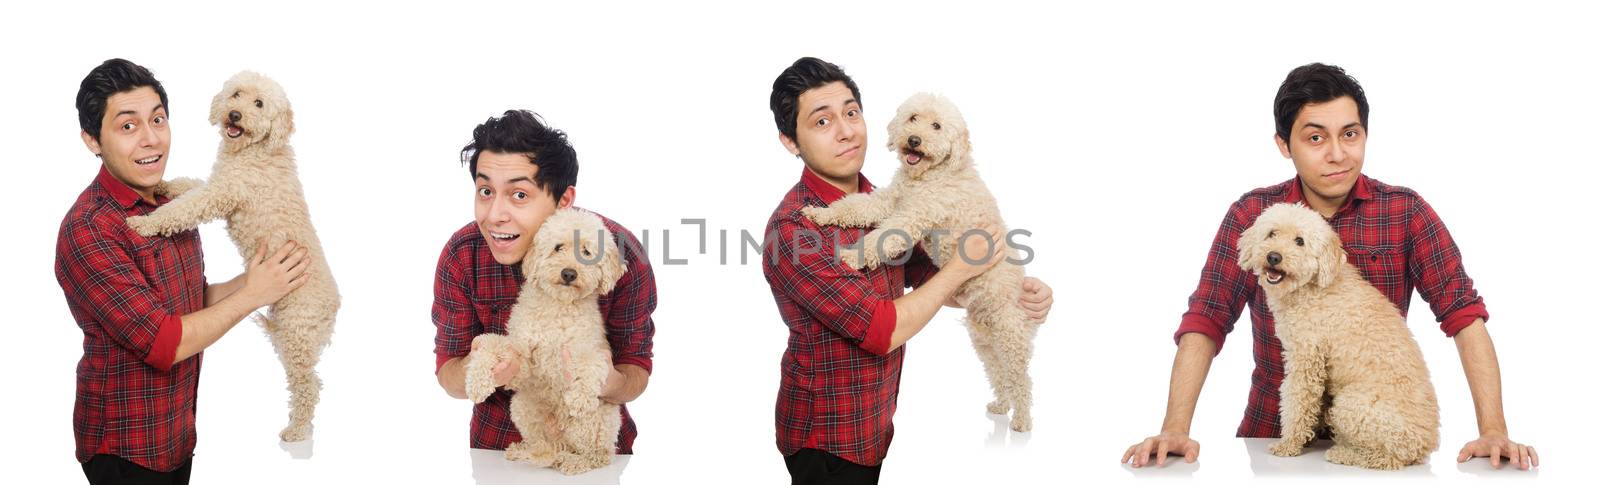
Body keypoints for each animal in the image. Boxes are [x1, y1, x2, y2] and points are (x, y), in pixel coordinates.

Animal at [125, 72, 337, 444]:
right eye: (237, 94)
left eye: (259, 104)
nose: (235, 115)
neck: (253, 150)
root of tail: (334, 307)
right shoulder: (215, 182)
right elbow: (188, 185)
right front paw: (163, 184)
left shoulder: (222, 192)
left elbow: (184, 207)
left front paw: (145, 223)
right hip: (288, 333)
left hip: (296, 334)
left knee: (308, 385)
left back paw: (297, 430)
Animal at [464, 208, 624, 473]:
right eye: (558, 247)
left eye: (587, 252)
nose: (568, 273)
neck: (558, 306)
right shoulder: (523, 360)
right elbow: (490, 345)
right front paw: (477, 381)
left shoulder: (586, 348)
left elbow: (591, 363)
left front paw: (580, 397)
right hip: (522, 406)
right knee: (542, 445)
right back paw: (525, 451)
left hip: (595, 421)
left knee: (598, 454)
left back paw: (573, 461)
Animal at [800, 92, 1036, 432]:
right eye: (913, 118)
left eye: (936, 126)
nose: (914, 140)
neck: (930, 175)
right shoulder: (889, 200)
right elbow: (855, 205)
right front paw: (821, 213)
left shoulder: (914, 214)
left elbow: (882, 237)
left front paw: (852, 256)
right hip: (985, 342)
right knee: (999, 374)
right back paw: (1001, 405)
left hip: (1010, 338)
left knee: (1021, 380)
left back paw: (1021, 420)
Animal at [1228, 203, 1446, 470]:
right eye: (1272, 233)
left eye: (1300, 241)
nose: (1274, 257)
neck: (1312, 288)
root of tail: (1427, 443)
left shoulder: (1306, 358)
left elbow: (1297, 402)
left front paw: (1288, 443)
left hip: (1352, 406)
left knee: (1388, 458)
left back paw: (1344, 453)